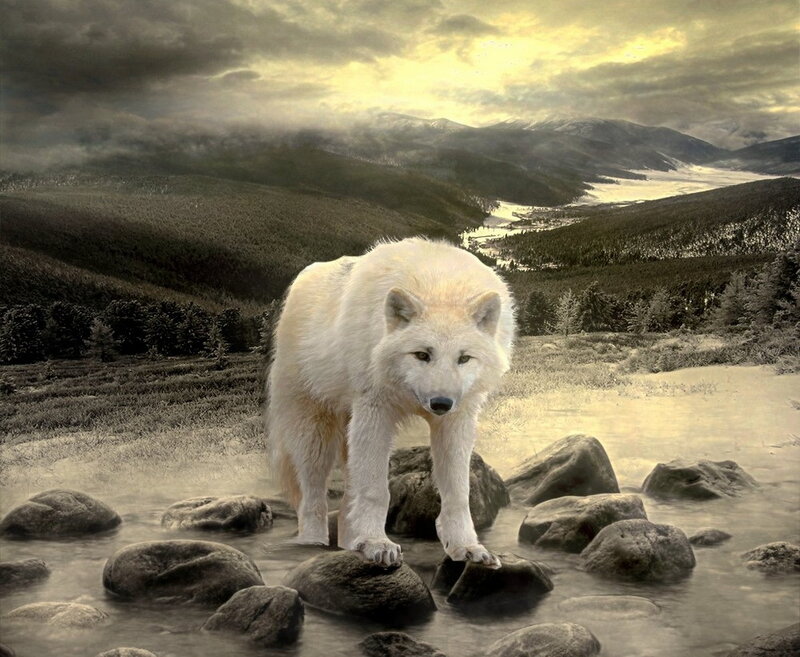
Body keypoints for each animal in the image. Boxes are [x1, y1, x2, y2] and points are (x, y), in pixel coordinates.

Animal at [267, 237, 515, 567]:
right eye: (422, 354)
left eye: (464, 358)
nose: (441, 403)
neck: (439, 284)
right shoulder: (376, 413)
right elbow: (375, 490)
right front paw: (376, 543)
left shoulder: (457, 420)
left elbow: (458, 494)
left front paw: (466, 547)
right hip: (315, 432)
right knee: (312, 494)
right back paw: (313, 545)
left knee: (347, 497)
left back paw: (349, 543)